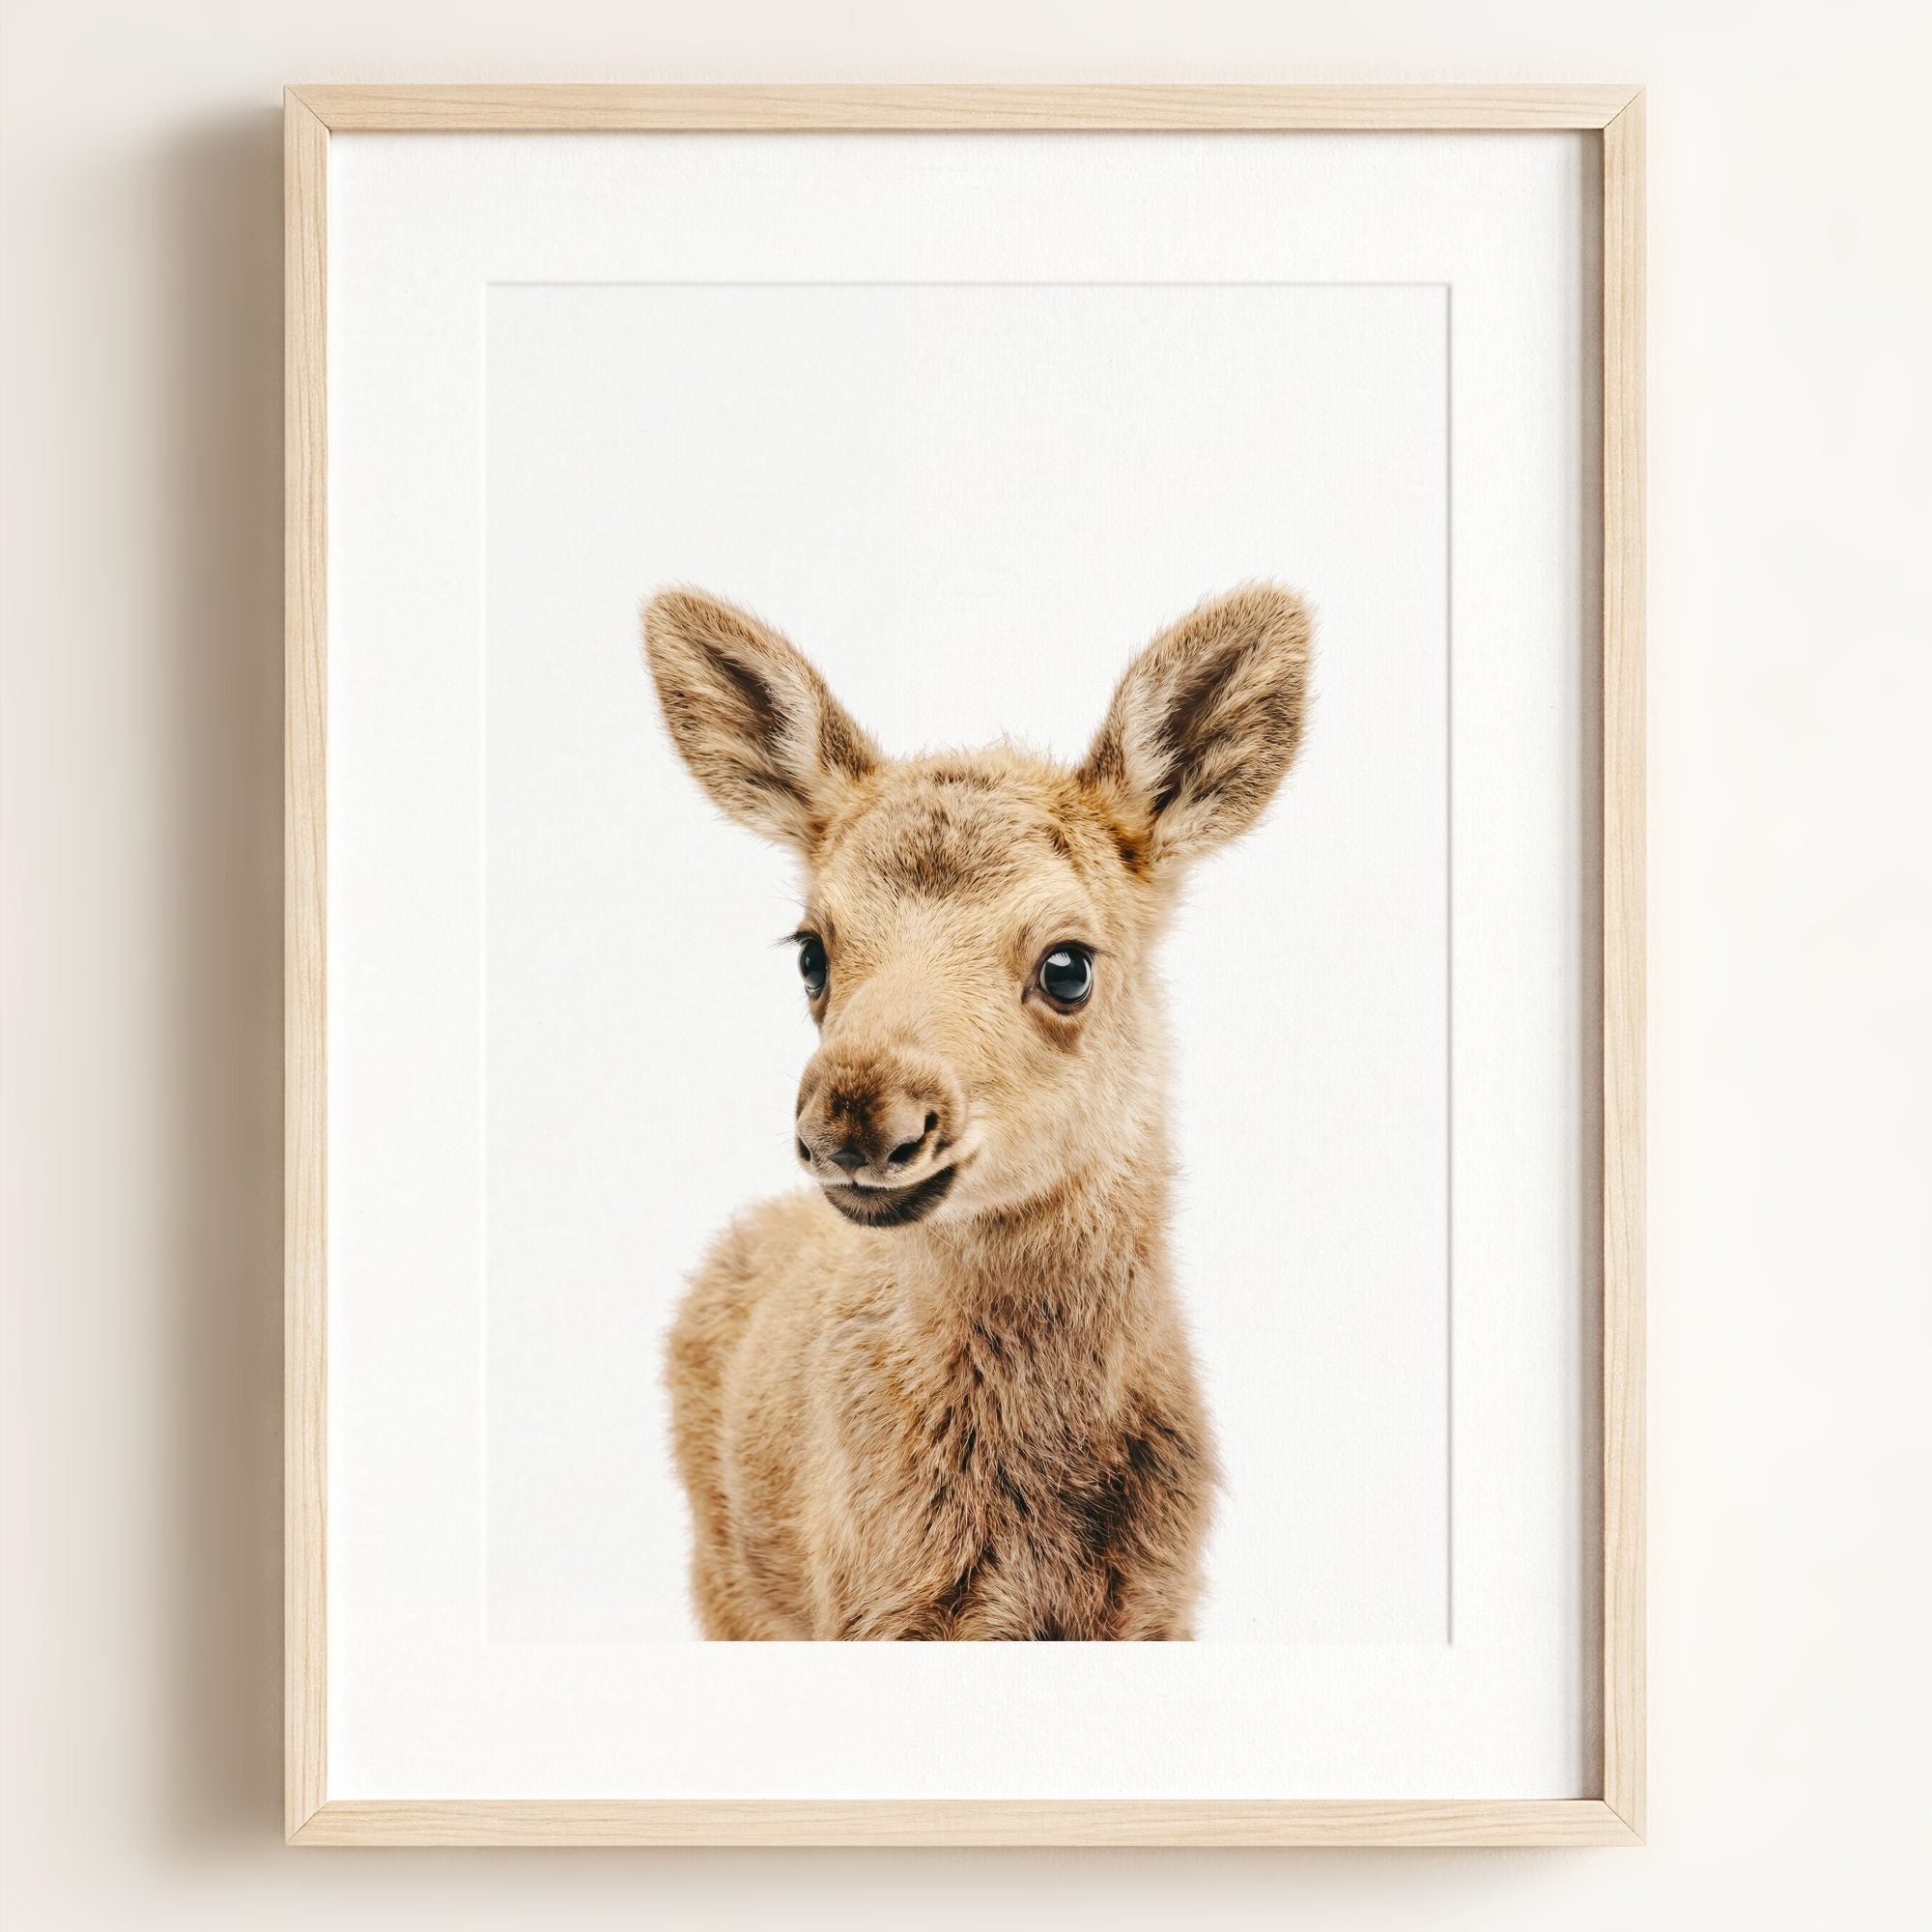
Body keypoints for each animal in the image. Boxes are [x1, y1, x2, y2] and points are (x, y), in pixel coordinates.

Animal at [642, 584, 1312, 1640]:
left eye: (1068, 964)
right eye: (811, 951)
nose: (858, 1116)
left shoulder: (1159, 1603)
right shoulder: (871, 1603)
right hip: (725, 1580)